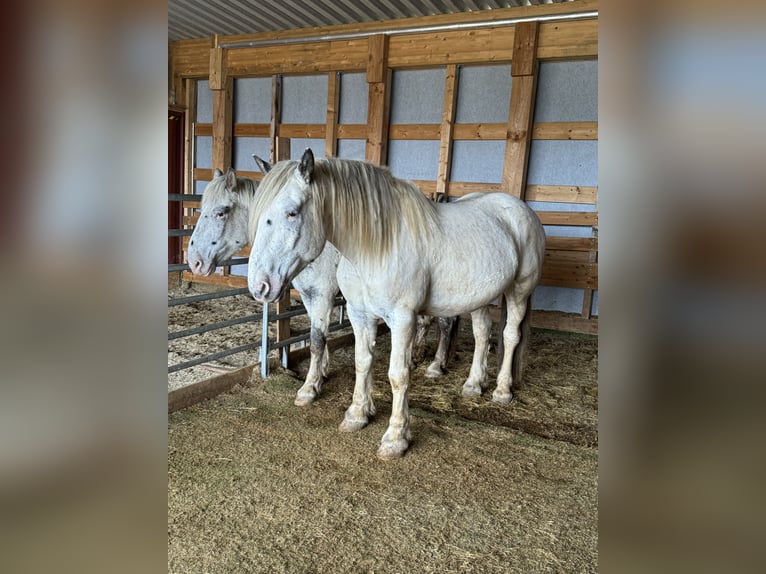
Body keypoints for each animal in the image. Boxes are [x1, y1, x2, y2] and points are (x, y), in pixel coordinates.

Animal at [186, 162, 456, 408]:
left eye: (221, 212)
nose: (195, 262)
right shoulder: (309, 295)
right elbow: (318, 335)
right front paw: (322, 372)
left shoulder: (322, 295)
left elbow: (316, 340)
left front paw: (309, 388)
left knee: (444, 322)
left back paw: (437, 364)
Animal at [246, 151, 544, 462]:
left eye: (292, 212)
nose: (260, 286)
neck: (375, 247)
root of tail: (521, 209)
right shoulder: (359, 314)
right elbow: (362, 362)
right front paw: (357, 415)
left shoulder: (403, 320)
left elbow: (398, 375)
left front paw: (395, 438)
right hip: (479, 297)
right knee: (482, 334)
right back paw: (474, 384)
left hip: (519, 290)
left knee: (510, 336)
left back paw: (502, 390)